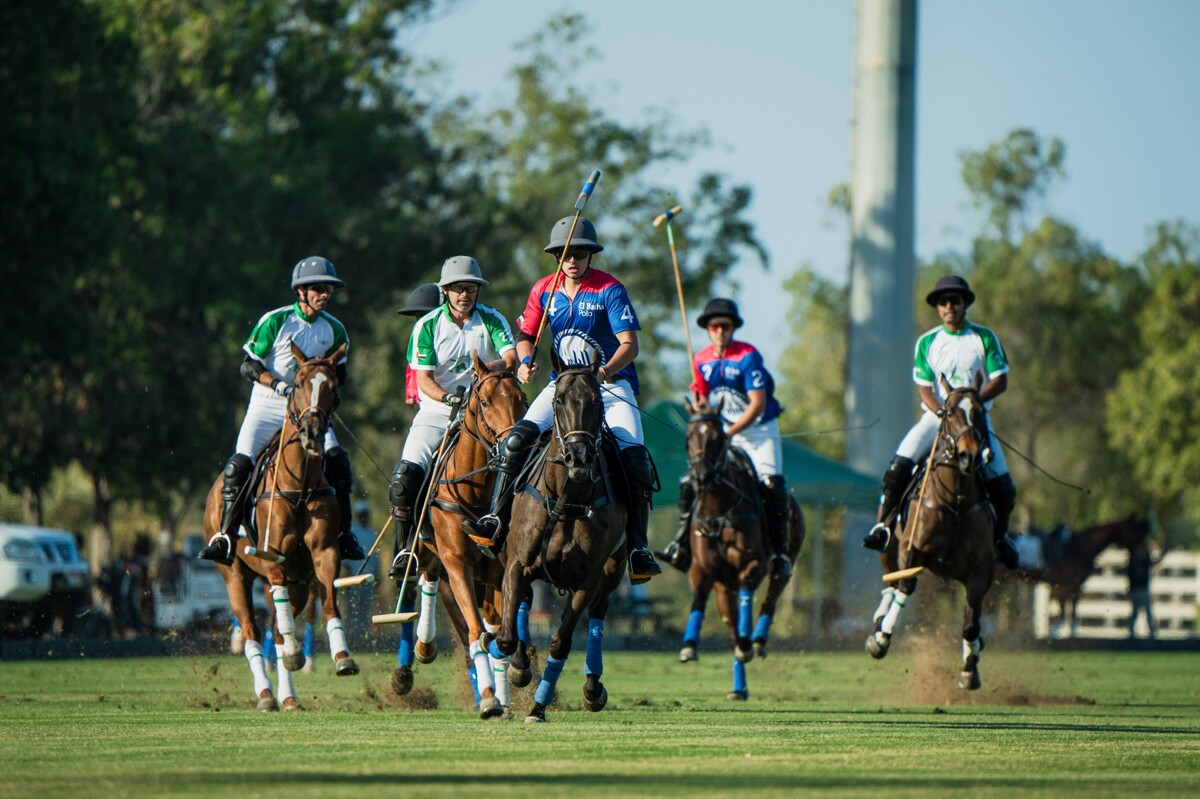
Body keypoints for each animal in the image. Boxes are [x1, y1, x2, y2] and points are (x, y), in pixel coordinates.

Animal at [204, 343, 355, 710]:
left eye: (333, 387)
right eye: (297, 384)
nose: (312, 433)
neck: (299, 486)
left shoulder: (324, 553)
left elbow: (329, 601)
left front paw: (342, 656)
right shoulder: (272, 556)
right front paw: (294, 655)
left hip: (299, 582)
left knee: (275, 629)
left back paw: (288, 696)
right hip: (233, 575)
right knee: (252, 633)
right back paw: (265, 694)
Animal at [494, 355, 628, 719]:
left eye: (598, 402)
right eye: (559, 400)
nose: (579, 458)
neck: (566, 500)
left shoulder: (587, 580)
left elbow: (560, 643)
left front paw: (538, 708)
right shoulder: (516, 563)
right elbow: (507, 635)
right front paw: (514, 665)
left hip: (614, 570)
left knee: (599, 612)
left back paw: (593, 687)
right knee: (522, 602)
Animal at [676, 395, 806, 700]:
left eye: (717, 438)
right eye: (689, 436)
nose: (700, 477)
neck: (720, 511)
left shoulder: (753, 565)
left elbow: (749, 596)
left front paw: (748, 643)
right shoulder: (702, 570)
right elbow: (699, 598)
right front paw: (689, 646)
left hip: (785, 566)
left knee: (770, 600)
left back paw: (756, 641)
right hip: (724, 587)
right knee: (731, 629)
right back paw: (739, 687)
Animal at [868, 369, 998, 686]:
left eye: (979, 412)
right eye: (948, 412)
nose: (969, 456)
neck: (957, 500)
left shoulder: (981, 569)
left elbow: (971, 621)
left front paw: (969, 666)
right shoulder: (910, 548)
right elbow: (905, 585)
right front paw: (882, 637)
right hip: (887, 549)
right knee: (891, 582)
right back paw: (879, 621)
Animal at [1022, 515, 1152, 633]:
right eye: (1136, 534)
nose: (1142, 556)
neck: (1081, 547)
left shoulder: (1072, 587)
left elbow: (1070, 618)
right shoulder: (1064, 588)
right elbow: (1064, 619)